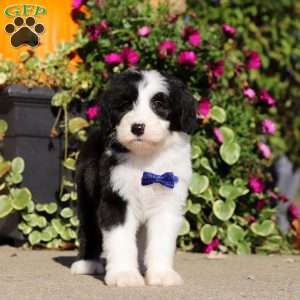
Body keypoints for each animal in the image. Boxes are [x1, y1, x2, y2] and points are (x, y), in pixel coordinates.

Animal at [70, 69, 197, 288]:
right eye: (125, 105)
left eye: (159, 104)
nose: (137, 127)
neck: (146, 160)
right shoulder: (115, 199)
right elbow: (120, 240)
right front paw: (125, 275)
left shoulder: (167, 202)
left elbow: (161, 241)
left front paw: (161, 274)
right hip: (86, 194)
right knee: (89, 228)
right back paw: (87, 263)